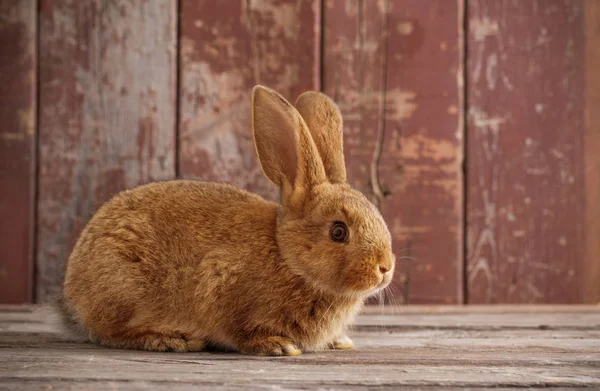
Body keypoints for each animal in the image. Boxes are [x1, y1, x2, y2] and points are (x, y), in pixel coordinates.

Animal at [63, 85, 396, 356]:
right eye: (338, 231)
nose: (385, 268)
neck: (287, 257)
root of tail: (73, 287)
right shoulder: (221, 286)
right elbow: (241, 333)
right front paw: (278, 346)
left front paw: (338, 341)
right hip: (125, 287)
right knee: (109, 333)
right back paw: (170, 339)